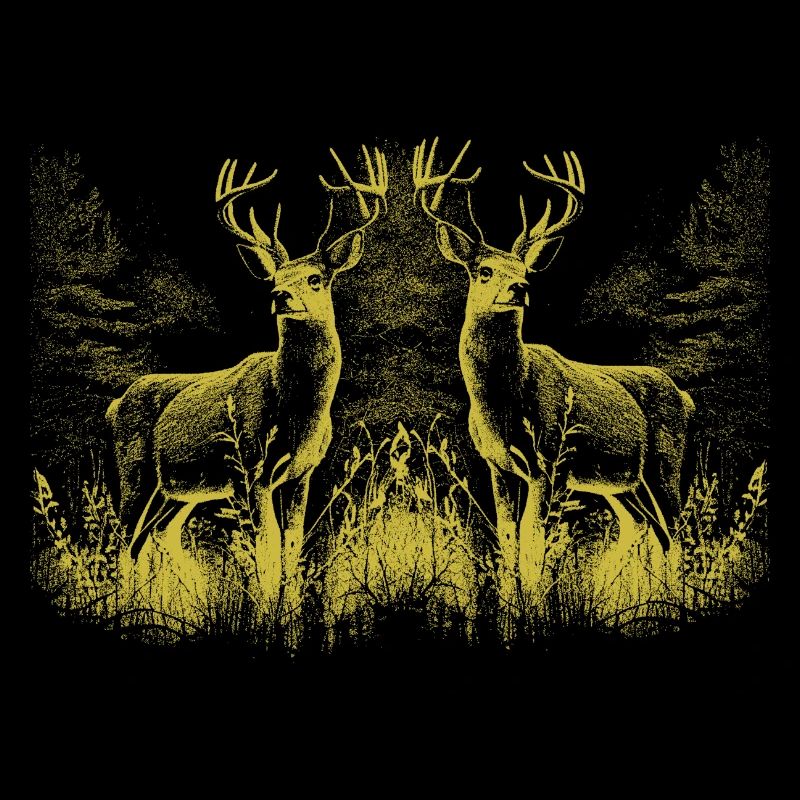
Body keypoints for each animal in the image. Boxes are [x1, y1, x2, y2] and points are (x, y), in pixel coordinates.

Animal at [106, 145, 388, 606]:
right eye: (274, 277)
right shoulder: (250, 469)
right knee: (124, 539)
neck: (298, 412)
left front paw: (287, 607)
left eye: (315, 278)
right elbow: (265, 548)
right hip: (135, 469)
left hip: (178, 490)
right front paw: (264, 606)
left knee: (155, 536)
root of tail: (114, 406)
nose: (279, 295)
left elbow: (292, 546)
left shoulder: (302, 473)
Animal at [412, 138, 694, 600]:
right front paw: (512, 600)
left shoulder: (550, 461)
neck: (502, 404)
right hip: (622, 482)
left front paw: (535, 600)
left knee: (677, 530)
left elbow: (535, 539)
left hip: (664, 461)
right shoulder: (498, 465)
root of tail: (685, 398)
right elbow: (508, 536)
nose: (521, 288)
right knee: (645, 527)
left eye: (525, 270)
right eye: (484, 270)